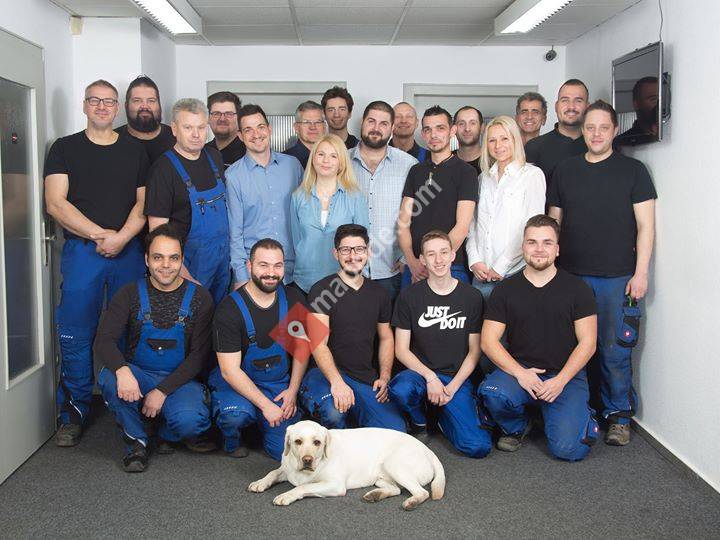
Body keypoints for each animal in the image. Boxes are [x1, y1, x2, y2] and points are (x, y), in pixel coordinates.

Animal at [247, 420, 445, 510]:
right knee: (395, 489)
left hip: (395, 464)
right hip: (381, 477)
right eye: (297, 441)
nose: (307, 460)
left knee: (422, 492)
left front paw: (286, 495)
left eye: (317, 442)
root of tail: (429, 451)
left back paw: (411, 501)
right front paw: (260, 482)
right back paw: (375, 495)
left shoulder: (335, 485)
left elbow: (302, 487)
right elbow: (273, 472)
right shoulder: (286, 469)